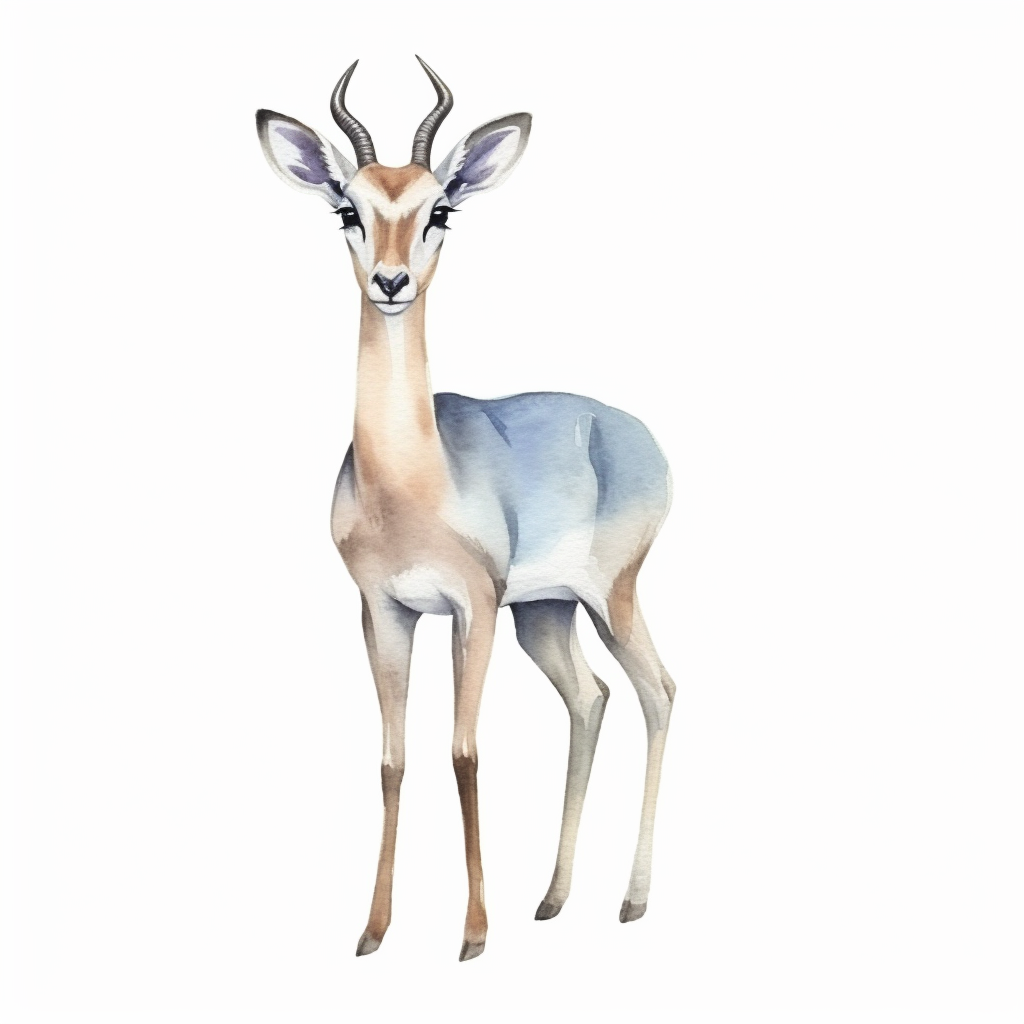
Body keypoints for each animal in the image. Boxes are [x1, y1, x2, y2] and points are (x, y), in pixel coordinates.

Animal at [256, 57, 676, 961]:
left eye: (439, 209)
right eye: (348, 208)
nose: (391, 283)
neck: (413, 483)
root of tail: (629, 427)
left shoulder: (471, 608)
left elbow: (464, 751)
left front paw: (474, 934)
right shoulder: (384, 610)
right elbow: (393, 758)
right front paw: (374, 930)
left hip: (611, 598)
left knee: (659, 690)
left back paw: (631, 902)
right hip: (546, 614)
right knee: (591, 698)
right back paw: (552, 898)